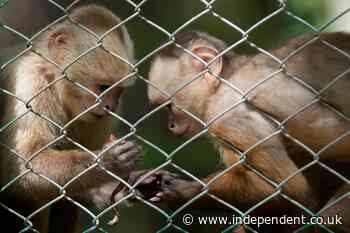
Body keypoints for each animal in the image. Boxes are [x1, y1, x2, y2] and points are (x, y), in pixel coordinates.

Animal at [141, 31, 348, 233]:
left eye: (169, 107)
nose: (171, 125)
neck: (227, 79)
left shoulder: (227, 114)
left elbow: (290, 189)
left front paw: (182, 192)